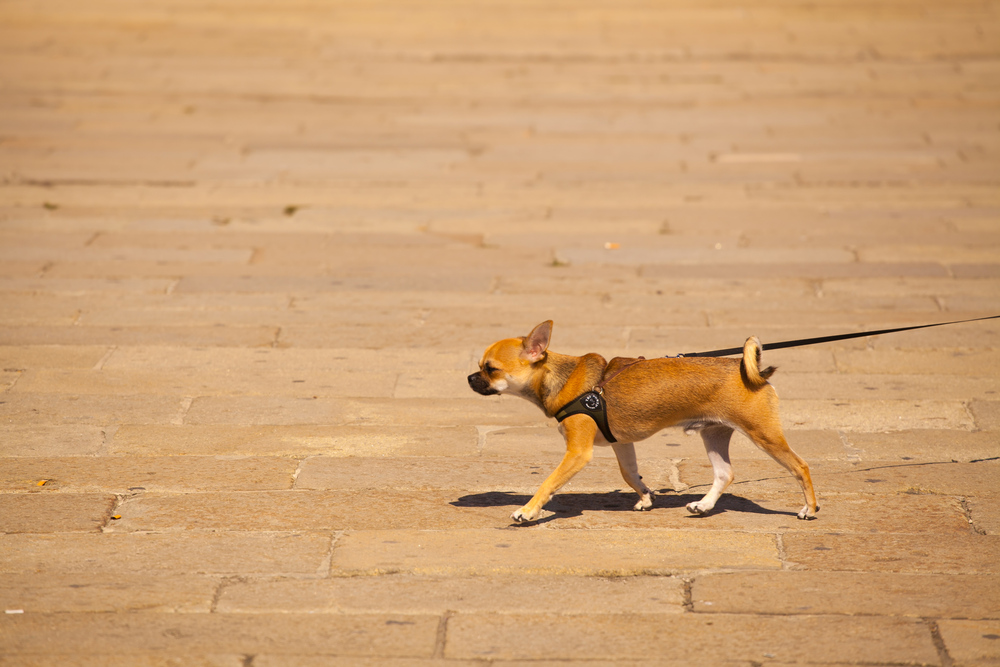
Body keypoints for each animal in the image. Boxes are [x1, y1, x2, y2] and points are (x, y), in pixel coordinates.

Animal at [468, 320, 820, 524]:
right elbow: (630, 474)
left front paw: (528, 511)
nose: (470, 377)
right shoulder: (622, 444)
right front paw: (647, 496)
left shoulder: (577, 453)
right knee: (725, 473)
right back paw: (704, 506)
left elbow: (548, 483)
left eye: (491, 368)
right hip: (714, 434)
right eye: (480, 366)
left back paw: (810, 509)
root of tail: (751, 370)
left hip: (764, 434)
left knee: (800, 466)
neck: (561, 379)